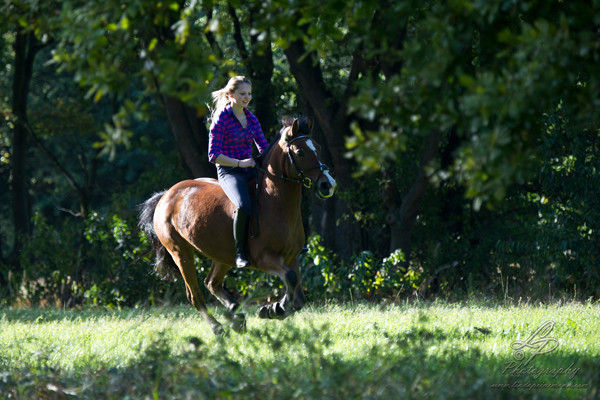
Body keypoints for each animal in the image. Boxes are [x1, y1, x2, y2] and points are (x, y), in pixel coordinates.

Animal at [139, 115, 338, 334]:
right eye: (300, 152)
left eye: (318, 148)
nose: (328, 184)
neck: (274, 201)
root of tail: (166, 195)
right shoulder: (265, 258)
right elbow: (291, 279)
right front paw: (274, 309)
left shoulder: (291, 257)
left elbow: (297, 294)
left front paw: (273, 308)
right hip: (180, 253)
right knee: (195, 295)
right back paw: (218, 327)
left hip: (222, 254)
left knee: (212, 283)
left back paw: (237, 315)